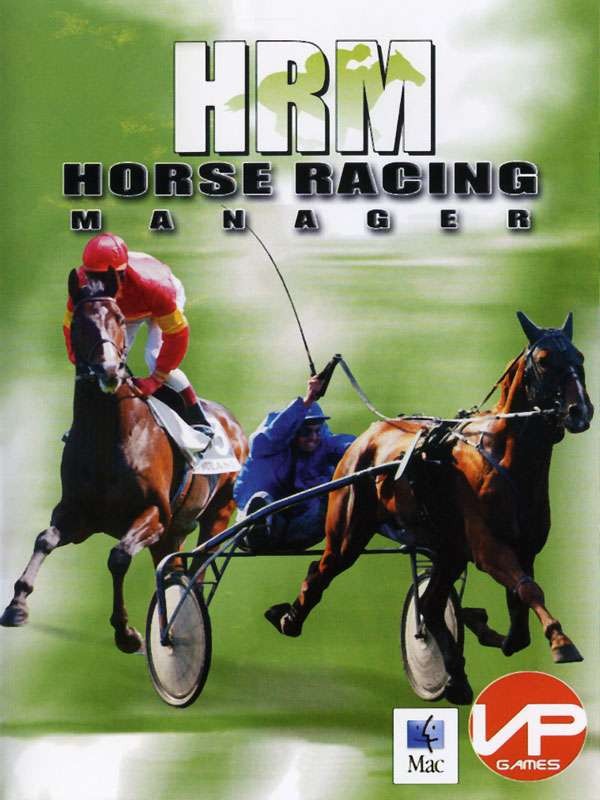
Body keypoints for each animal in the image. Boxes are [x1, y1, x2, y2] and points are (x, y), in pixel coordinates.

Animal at [0, 268, 248, 653]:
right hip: (174, 532)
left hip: (216, 512)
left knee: (198, 567)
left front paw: (126, 633)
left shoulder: (154, 514)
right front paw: (17, 605)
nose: (108, 370)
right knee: (174, 566)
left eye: (118, 318)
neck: (109, 436)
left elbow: (118, 557)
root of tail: (232, 423)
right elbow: (45, 538)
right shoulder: (79, 513)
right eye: (79, 323)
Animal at [265, 312, 593, 704]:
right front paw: (561, 641)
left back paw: (456, 677)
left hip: (449, 550)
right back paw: (290, 619)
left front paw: (480, 625)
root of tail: (367, 435)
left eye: (580, 357)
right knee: (321, 570)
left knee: (433, 608)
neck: (506, 457)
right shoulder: (488, 547)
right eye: (544, 360)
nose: (580, 411)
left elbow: (518, 628)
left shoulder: (524, 548)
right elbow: (529, 591)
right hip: (348, 533)